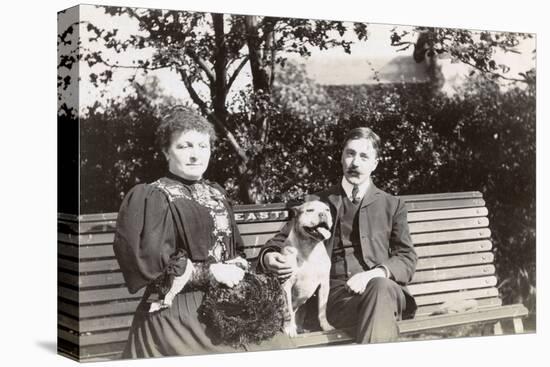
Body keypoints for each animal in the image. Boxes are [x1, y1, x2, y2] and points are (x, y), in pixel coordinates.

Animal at [282, 201, 334, 340]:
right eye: (310, 210)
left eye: (327, 210)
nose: (322, 214)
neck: (310, 247)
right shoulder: (287, 284)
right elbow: (288, 309)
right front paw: (290, 329)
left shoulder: (324, 284)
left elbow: (322, 309)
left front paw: (326, 326)